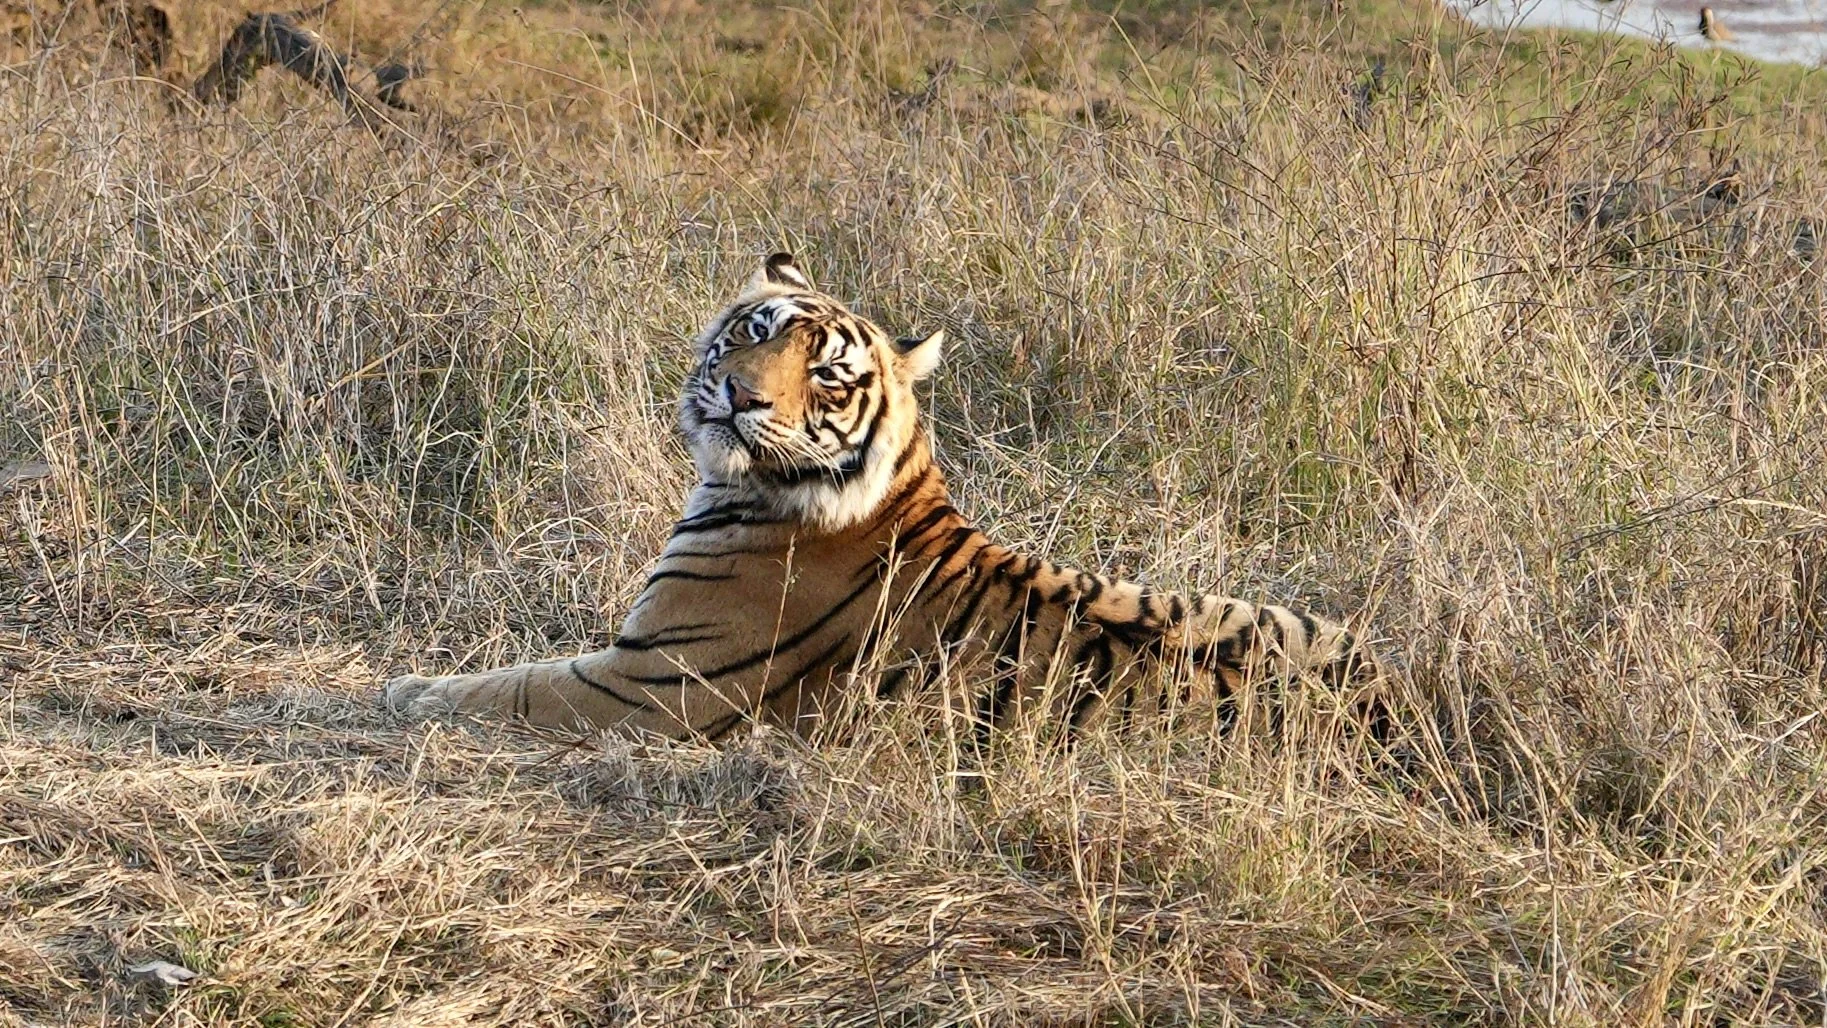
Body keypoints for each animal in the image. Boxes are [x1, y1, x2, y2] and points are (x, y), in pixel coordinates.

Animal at [383, 253, 1382, 742]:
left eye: (827, 376)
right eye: (754, 331)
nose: (739, 395)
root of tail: (1392, 716)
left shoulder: (645, 684)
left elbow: (504, 686)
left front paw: (396, 691)